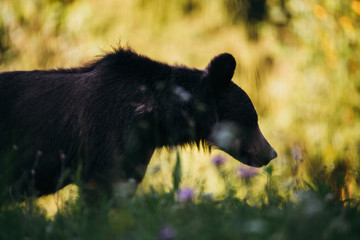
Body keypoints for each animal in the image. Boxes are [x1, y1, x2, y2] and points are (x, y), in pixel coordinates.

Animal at [0, 47, 278, 202]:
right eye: (252, 119)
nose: (271, 152)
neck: (153, 120)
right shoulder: (104, 135)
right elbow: (101, 186)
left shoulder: (137, 151)